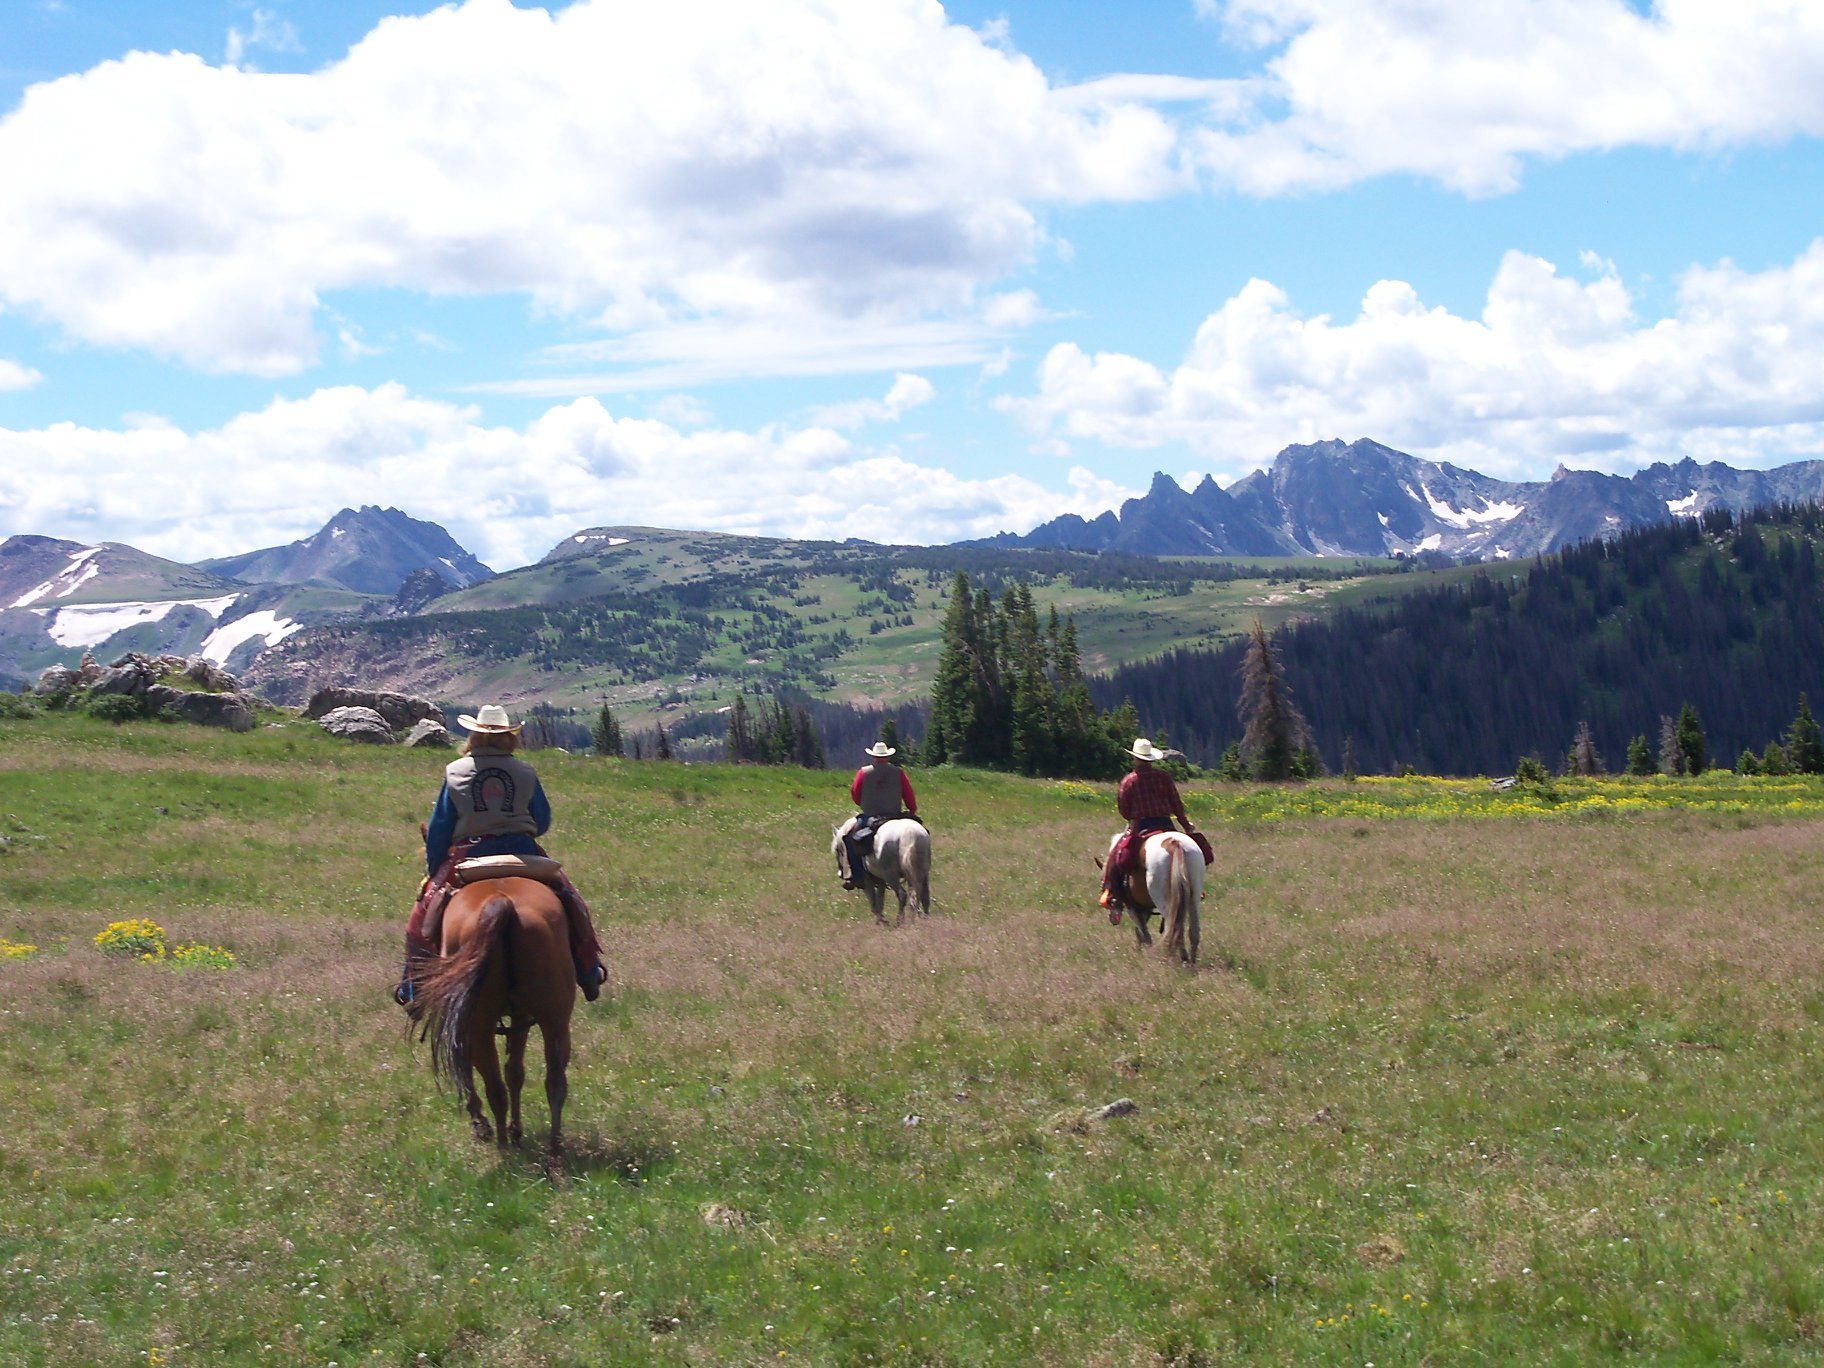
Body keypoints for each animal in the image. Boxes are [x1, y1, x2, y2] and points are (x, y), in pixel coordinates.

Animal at [406, 877, 576, 1170]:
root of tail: (501, 903)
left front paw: (482, 1125)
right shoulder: (520, 1018)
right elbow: (515, 1073)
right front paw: (515, 1131)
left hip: (479, 1025)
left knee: (494, 1087)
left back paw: (503, 1149)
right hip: (554, 1021)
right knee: (554, 1082)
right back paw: (553, 1153)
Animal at [1096, 830, 1206, 965]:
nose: (1113, 919)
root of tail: (1173, 843)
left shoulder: (1132, 908)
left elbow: (1143, 933)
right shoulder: (1145, 908)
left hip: (1165, 902)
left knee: (1174, 929)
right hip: (1194, 897)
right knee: (1193, 931)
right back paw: (1191, 963)